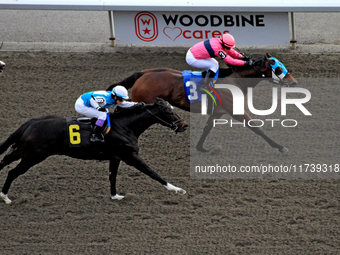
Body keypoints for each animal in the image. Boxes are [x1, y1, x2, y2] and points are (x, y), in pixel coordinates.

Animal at [0, 98, 189, 204]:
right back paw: (5, 197)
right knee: (12, 172)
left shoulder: (116, 156)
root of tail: (31, 122)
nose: (184, 125)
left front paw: (115, 196)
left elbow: (112, 176)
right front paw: (176, 189)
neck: (125, 126)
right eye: (168, 111)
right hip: (32, 157)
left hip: (22, 152)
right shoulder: (130, 156)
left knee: (3, 161)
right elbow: (152, 172)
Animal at [107, 53, 298, 152]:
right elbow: (256, 128)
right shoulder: (235, 110)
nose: (294, 82)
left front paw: (201, 147)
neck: (236, 80)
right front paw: (280, 147)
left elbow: (207, 128)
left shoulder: (219, 111)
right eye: (278, 69)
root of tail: (143, 73)